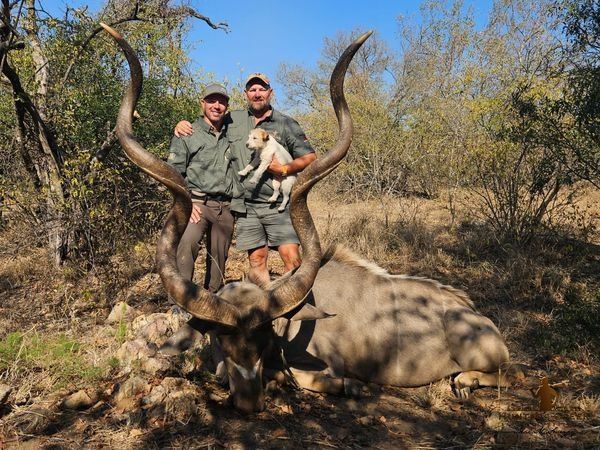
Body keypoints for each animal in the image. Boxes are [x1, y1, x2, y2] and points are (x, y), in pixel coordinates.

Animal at [101, 24, 512, 414]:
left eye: (264, 339)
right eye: (222, 339)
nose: (249, 401)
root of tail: (481, 321)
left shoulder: (323, 364)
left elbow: (308, 377)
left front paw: (344, 386)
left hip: (489, 360)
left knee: (506, 374)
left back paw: (464, 381)